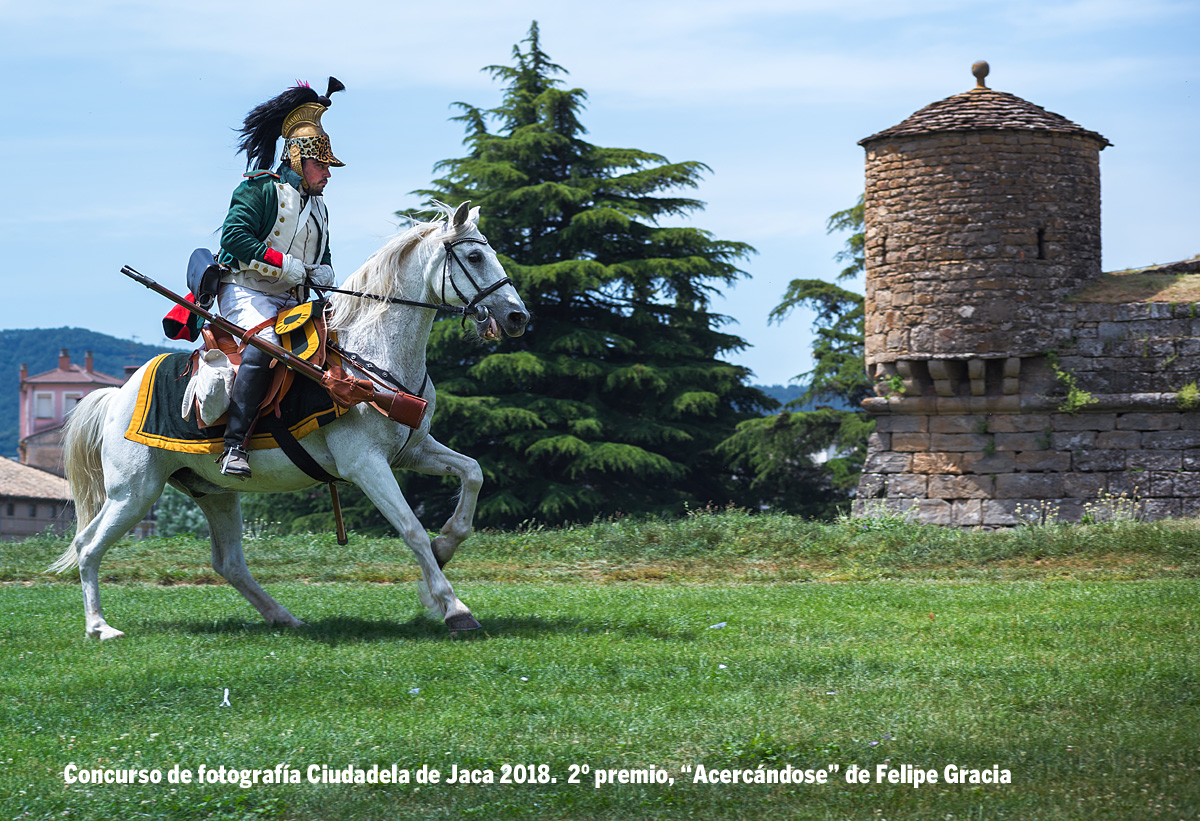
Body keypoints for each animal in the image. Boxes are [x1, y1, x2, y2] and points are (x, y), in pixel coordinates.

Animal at [50, 204, 530, 643]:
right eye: (474, 256)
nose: (517, 317)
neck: (370, 356)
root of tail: (119, 395)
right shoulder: (367, 465)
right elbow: (411, 528)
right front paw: (453, 607)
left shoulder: (412, 451)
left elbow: (472, 474)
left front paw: (444, 550)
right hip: (134, 493)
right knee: (89, 546)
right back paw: (99, 626)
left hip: (213, 494)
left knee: (226, 562)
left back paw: (283, 617)